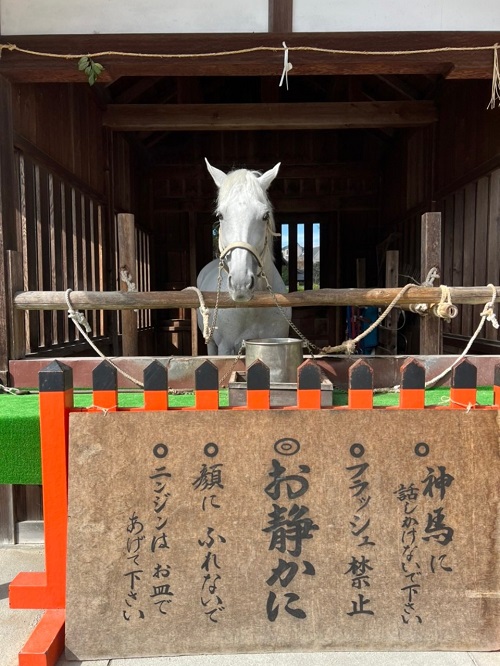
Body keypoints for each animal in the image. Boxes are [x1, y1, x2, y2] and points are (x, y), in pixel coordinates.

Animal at [195, 159, 290, 356]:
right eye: (220, 215)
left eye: (265, 216)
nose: (241, 284)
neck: (254, 309)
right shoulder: (226, 348)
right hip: (212, 343)